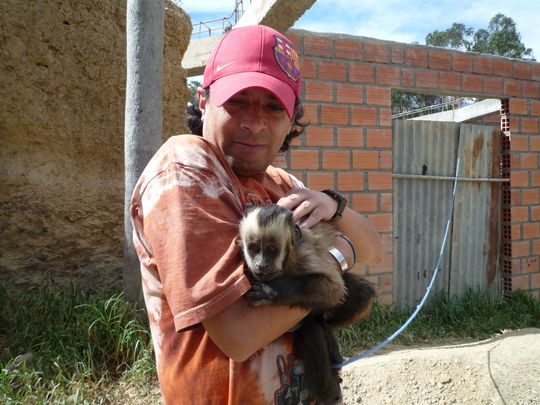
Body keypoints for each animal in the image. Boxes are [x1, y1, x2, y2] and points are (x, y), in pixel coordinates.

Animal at [238, 204, 378, 402]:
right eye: (253, 249)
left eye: (271, 250)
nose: (261, 265)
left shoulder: (304, 255)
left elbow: (334, 289)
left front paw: (272, 291)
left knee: (359, 295)